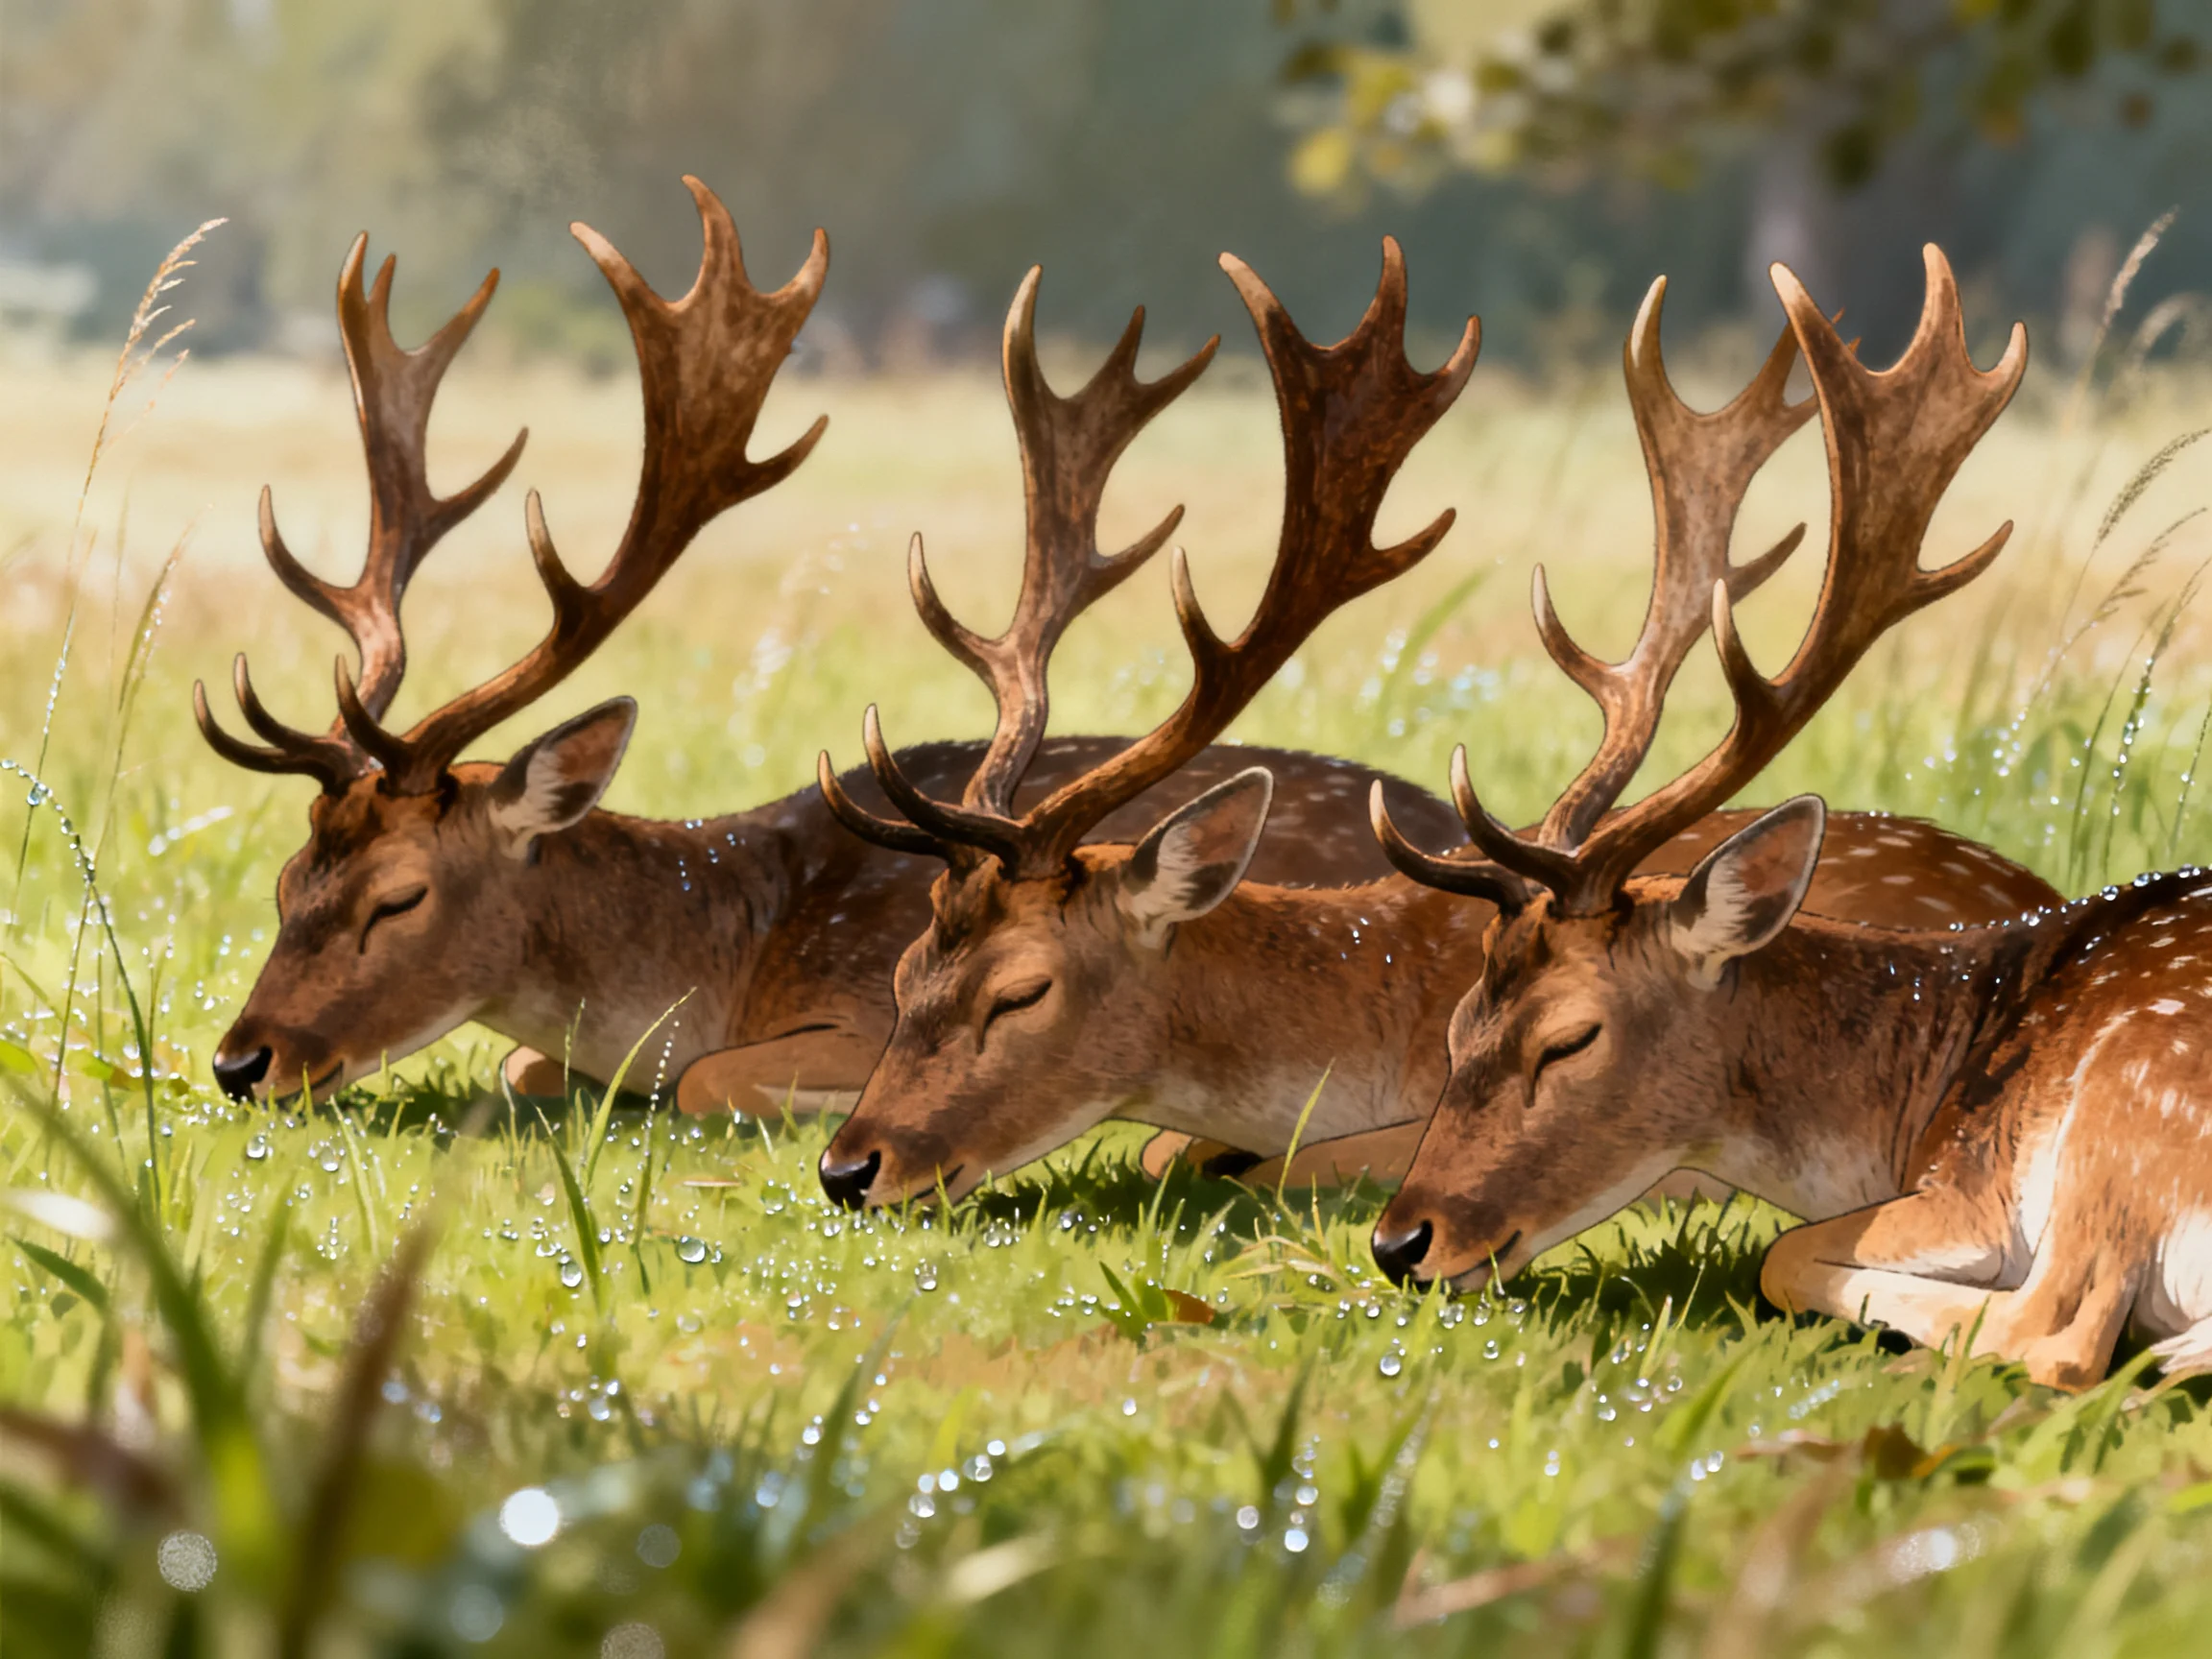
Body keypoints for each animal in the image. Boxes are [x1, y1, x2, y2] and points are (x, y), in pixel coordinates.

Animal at [195, 178, 1479, 1112]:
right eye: (286, 879)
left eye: (400, 898)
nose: (239, 1061)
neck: (728, 954)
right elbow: (519, 1061)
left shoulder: (862, 1007)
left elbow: (705, 1082)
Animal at [1366, 250, 2212, 1390]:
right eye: (1460, 1025)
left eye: (1571, 1038)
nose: (1400, 1241)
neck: (1912, 1095)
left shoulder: (1975, 1184)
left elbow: (1792, 1252)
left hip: (2128, 1112)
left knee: (2062, 1335)